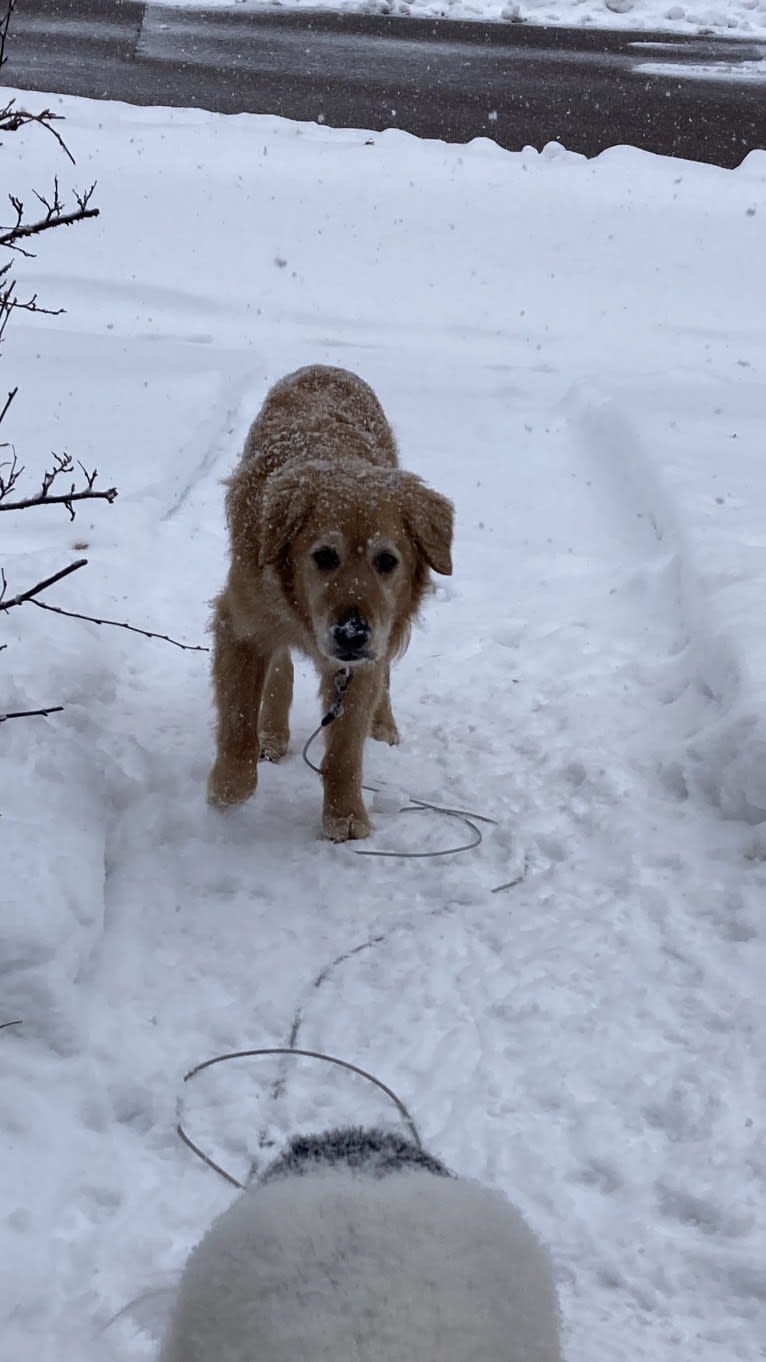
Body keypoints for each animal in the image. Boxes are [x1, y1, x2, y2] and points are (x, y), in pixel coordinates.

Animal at [205, 367, 449, 844]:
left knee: (382, 675)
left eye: (387, 561)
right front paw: (229, 785)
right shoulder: (240, 624)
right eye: (323, 556)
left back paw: (383, 724)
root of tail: (324, 367)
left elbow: (345, 750)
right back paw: (272, 733)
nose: (351, 634)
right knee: (280, 664)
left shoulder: (360, 663)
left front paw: (345, 815)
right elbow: (239, 717)